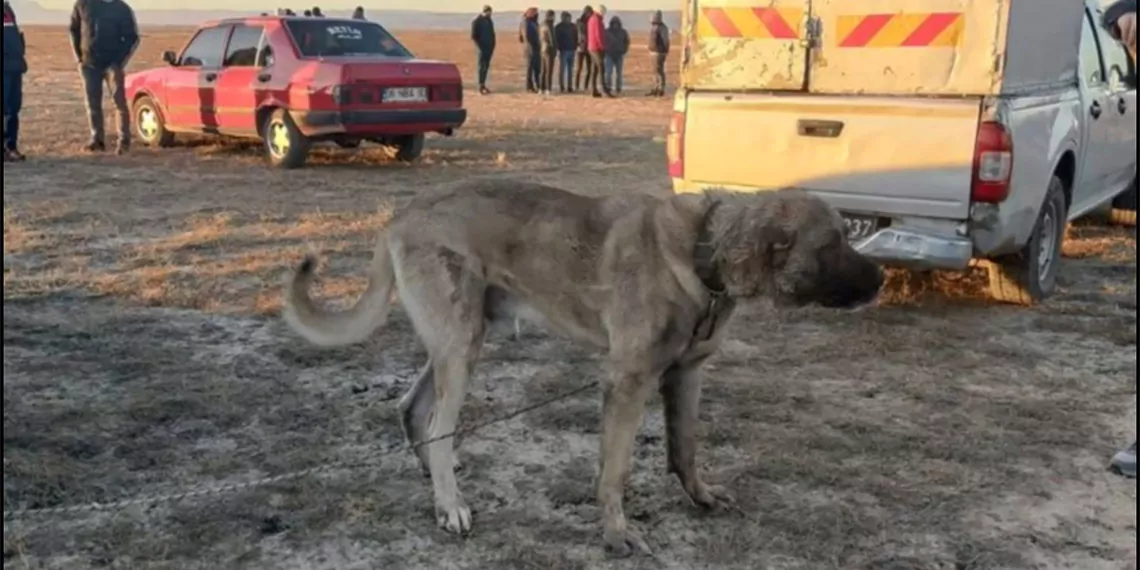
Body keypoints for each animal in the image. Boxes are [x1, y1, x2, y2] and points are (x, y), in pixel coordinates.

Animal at [282, 181, 880, 556]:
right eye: (835, 242)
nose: (880, 279)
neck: (701, 250)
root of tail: (399, 216)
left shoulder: (686, 374)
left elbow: (685, 448)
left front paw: (701, 497)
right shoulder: (628, 382)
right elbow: (614, 473)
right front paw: (616, 535)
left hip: (462, 341)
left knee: (414, 412)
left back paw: (436, 482)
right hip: (459, 345)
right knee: (437, 425)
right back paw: (450, 504)